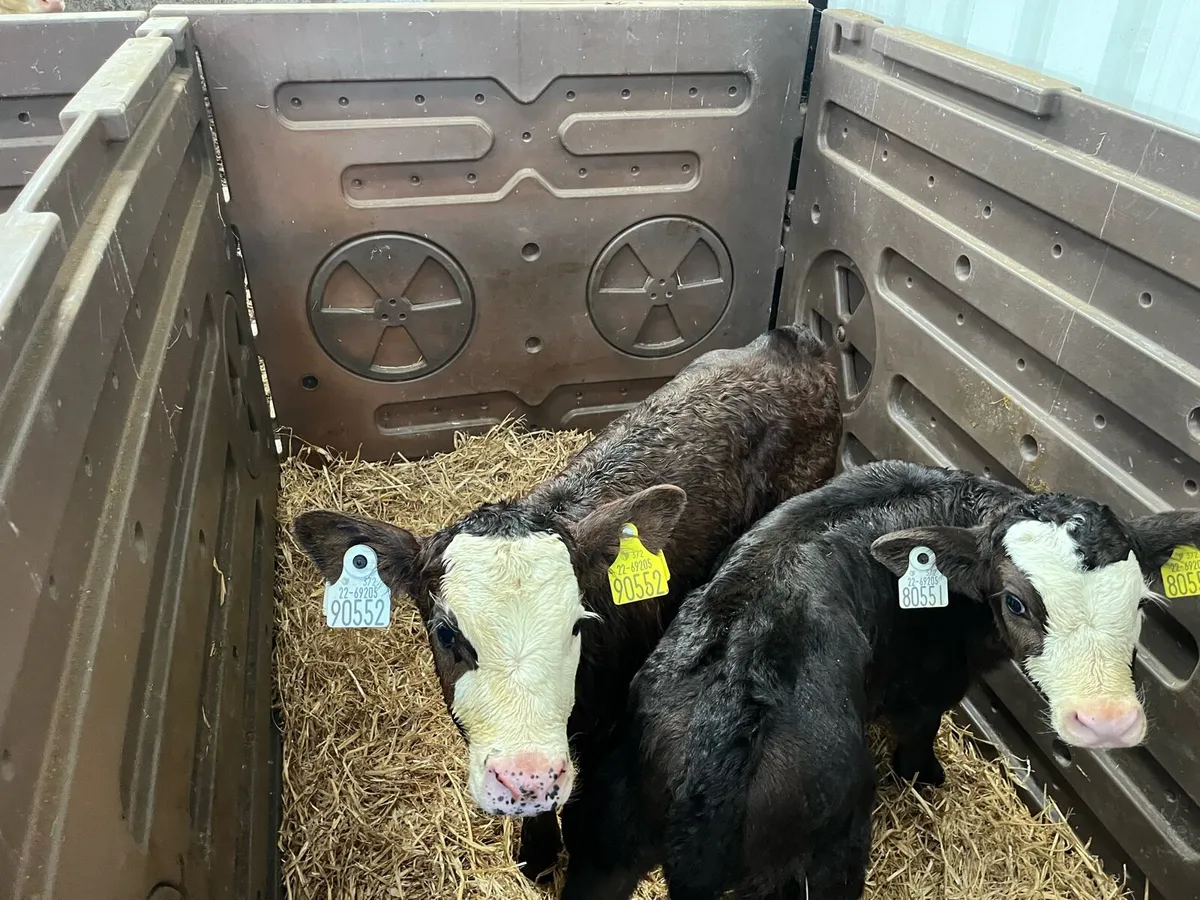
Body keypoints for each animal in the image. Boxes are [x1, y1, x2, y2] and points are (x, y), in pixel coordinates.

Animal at [560, 459, 1200, 900]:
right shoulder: (929, 684)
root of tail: (728, 719)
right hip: (825, 856)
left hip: (605, 837)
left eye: (1140, 601)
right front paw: (927, 777)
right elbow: (919, 736)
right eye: (1016, 602)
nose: (1106, 722)